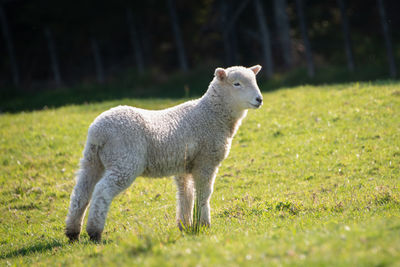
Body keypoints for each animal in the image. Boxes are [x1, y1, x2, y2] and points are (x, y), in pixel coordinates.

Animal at [65, 65, 266, 243]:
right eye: (237, 84)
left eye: (255, 80)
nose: (259, 99)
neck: (212, 114)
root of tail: (98, 132)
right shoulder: (206, 161)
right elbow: (203, 194)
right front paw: (204, 224)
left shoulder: (184, 165)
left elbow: (186, 194)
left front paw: (185, 226)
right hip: (125, 161)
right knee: (101, 191)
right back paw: (94, 233)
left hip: (92, 160)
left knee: (81, 193)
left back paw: (72, 233)